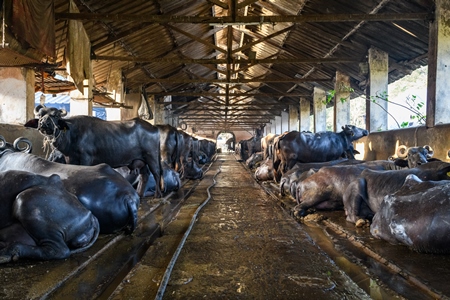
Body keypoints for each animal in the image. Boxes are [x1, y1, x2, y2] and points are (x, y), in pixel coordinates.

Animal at [24, 106, 163, 199]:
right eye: (40, 115)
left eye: (55, 116)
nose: (43, 123)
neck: (71, 134)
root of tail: (154, 128)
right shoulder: (70, 158)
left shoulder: (86, 158)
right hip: (141, 160)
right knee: (144, 175)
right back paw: (139, 194)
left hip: (151, 156)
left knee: (157, 173)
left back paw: (158, 194)